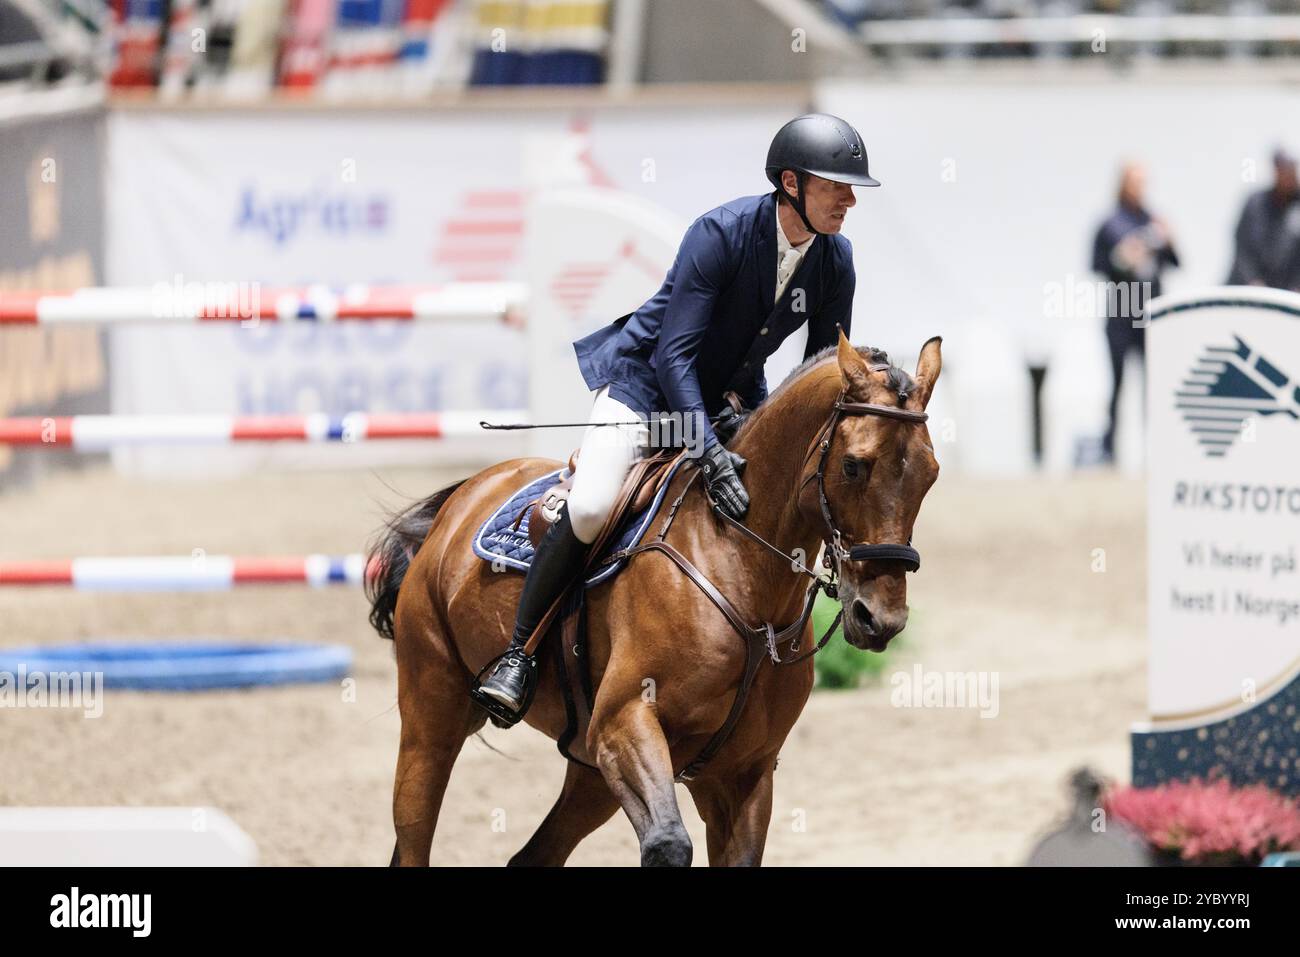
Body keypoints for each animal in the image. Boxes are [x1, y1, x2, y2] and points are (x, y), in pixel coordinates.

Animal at [371, 330, 941, 868]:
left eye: (931, 474)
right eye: (853, 466)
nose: (880, 620)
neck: (740, 571)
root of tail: (465, 494)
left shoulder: (741, 774)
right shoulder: (624, 724)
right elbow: (668, 844)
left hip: (589, 770)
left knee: (531, 856)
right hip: (432, 718)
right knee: (415, 831)